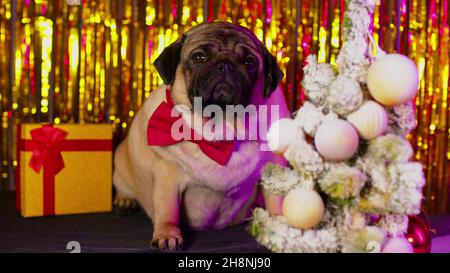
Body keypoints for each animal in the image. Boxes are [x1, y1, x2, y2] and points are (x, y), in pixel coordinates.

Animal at [112, 22, 288, 250]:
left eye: (249, 62)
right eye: (198, 57)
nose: (225, 65)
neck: (221, 131)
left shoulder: (272, 168)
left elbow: (276, 202)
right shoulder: (168, 174)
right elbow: (167, 208)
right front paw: (167, 233)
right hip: (121, 163)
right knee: (123, 185)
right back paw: (124, 201)